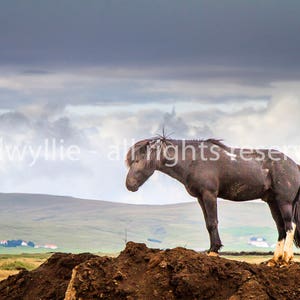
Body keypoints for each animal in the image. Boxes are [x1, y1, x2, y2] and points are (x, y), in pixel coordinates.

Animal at [125, 137, 300, 266]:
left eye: (139, 160)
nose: (129, 185)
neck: (194, 160)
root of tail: (294, 166)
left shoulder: (209, 195)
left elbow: (212, 222)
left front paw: (214, 251)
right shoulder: (200, 198)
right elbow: (208, 224)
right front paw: (211, 249)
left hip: (284, 202)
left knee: (290, 225)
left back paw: (286, 258)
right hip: (272, 202)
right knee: (281, 228)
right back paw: (274, 260)